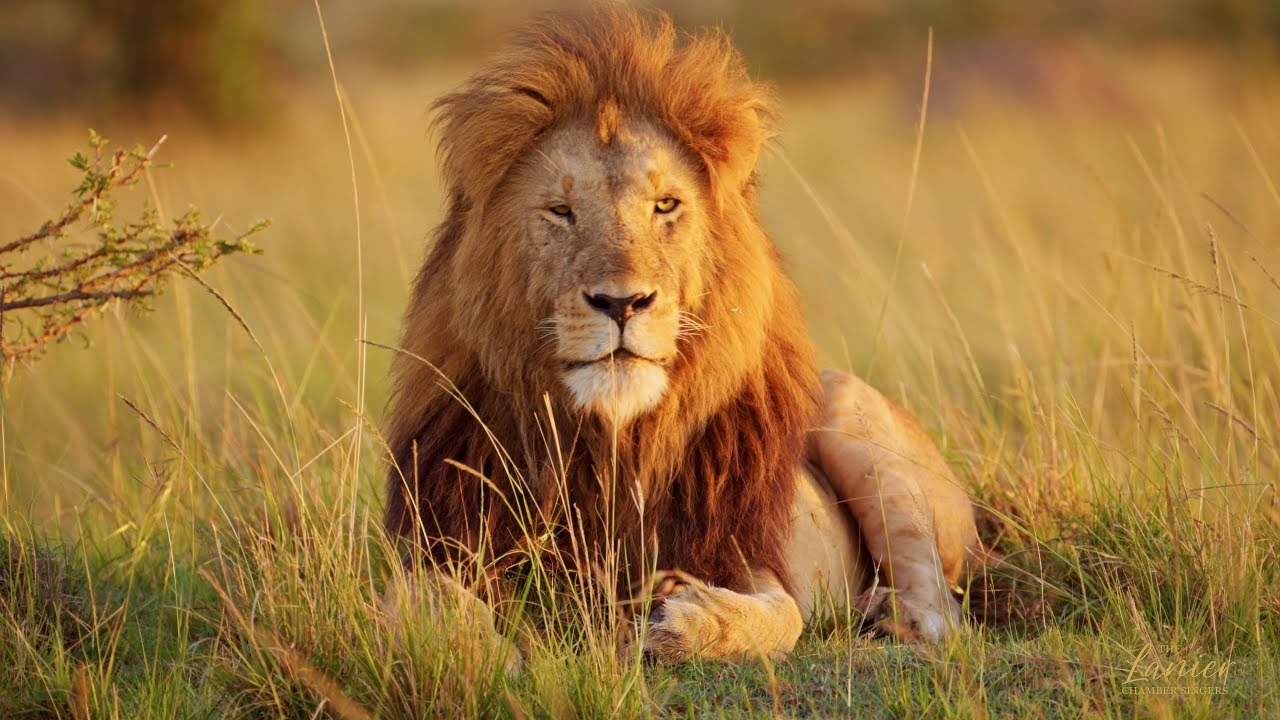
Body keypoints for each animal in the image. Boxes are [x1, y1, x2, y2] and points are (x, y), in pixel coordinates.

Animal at [383, 5, 978, 666]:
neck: (613, 447)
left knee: (940, 602)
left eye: (665, 205)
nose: (622, 302)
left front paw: (680, 621)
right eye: (561, 212)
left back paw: (891, 618)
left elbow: (781, 618)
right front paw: (488, 655)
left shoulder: (745, 555)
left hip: (854, 415)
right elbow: (417, 605)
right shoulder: (440, 540)